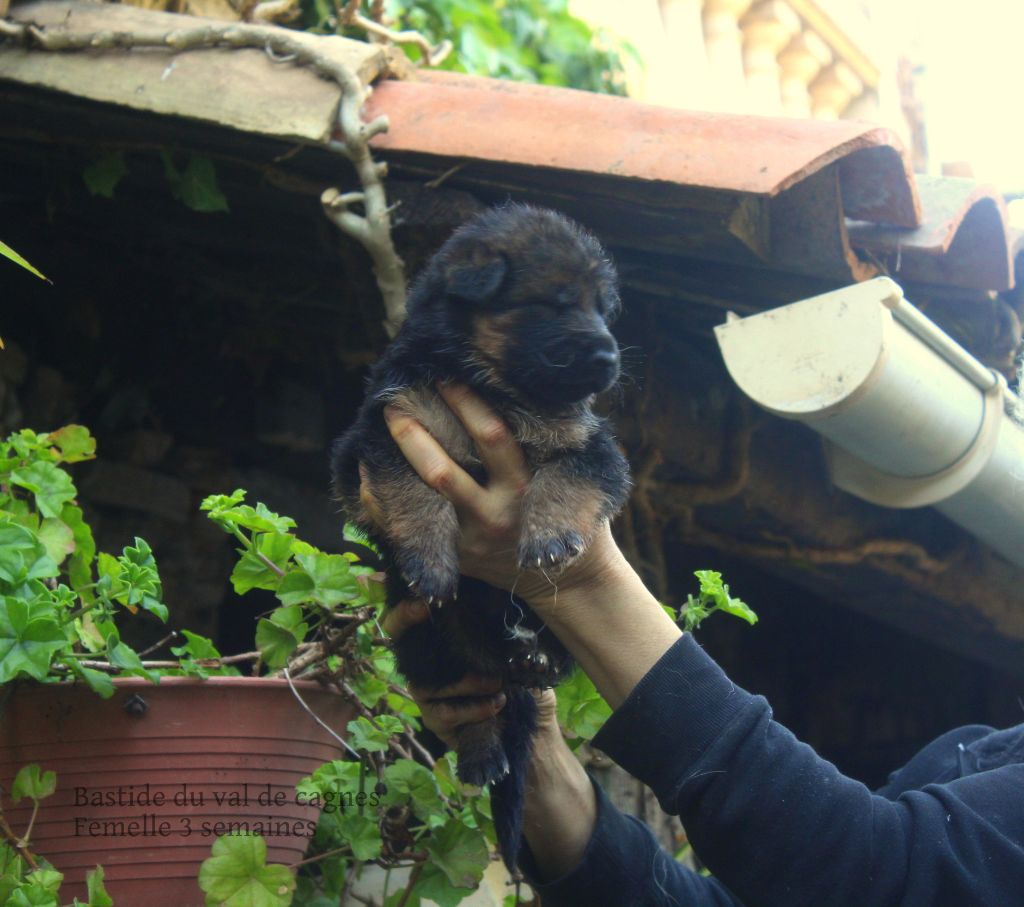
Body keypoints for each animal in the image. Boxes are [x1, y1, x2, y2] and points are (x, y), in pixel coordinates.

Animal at [331, 205, 626, 872]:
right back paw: (485, 754)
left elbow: (566, 476)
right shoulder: (382, 429)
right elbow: (411, 488)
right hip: (428, 646)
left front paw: (550, 536)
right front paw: (430, 561)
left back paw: (537, 659)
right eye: (556, 302)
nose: (610, 359)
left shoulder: (592, 445)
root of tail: (500, 660)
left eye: (602, 308)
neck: (493, 385)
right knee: (478, 714)